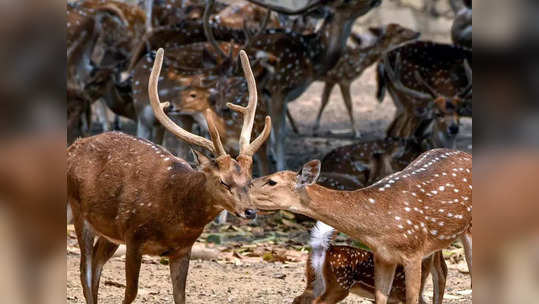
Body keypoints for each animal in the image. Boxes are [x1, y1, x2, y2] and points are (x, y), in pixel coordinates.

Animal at [66, 48, 270, 302]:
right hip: (79, 211)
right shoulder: (133, 236)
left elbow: (180, 296)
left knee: (95, 267)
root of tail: (72, 147)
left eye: (249, 181)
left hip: (108, 232)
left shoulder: (182, 250)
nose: (250, 211)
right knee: (84, 270)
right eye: (223, 181)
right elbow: (131, 293)